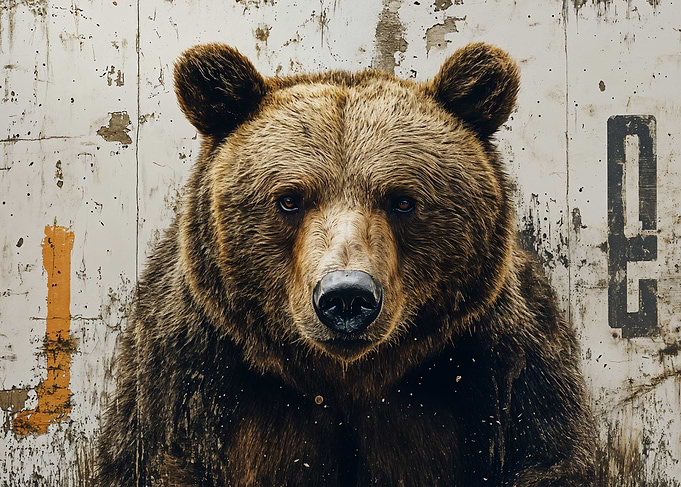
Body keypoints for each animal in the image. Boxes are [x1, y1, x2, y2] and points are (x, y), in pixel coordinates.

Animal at [97, 43, 596, 486]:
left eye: (402, 200)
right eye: (289, 198)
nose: (347, 297)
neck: (346, 378)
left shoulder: (500, 367)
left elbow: (547, 456)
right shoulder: (190, 375)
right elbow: (164, 457)